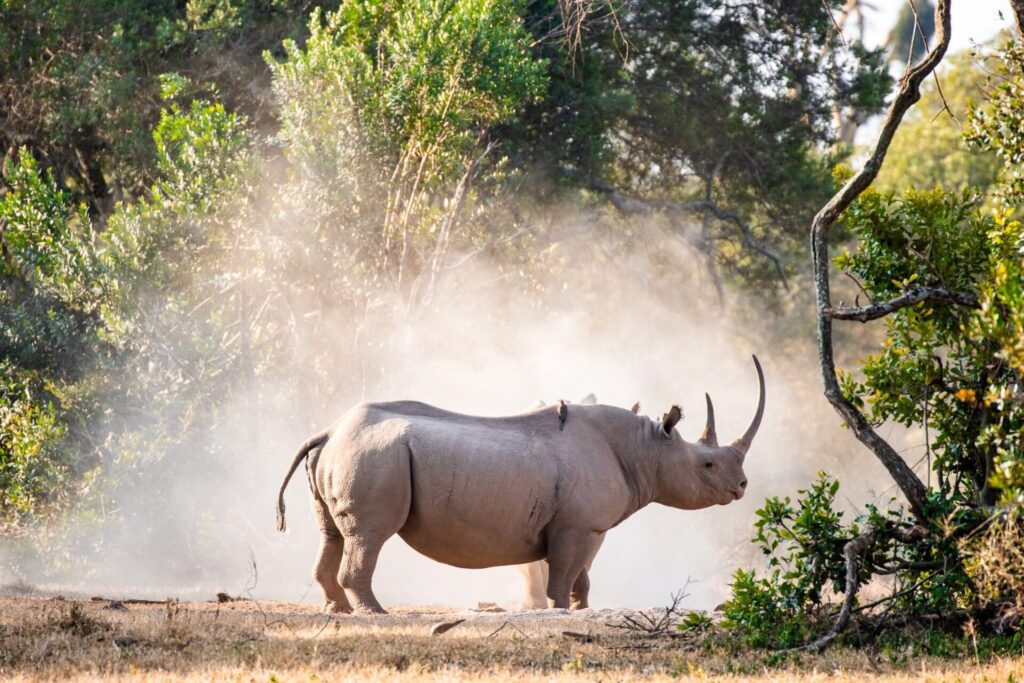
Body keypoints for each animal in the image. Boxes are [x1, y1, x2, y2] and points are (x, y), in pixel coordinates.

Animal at [276, 356, 765, 614]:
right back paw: (377, 613)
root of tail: (330, 430)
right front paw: (562, 611)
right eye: (707, 465)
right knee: (370, 534)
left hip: (353, 452)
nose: (742, 486)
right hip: (376, 455)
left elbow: (582, 574)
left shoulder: (582, 525)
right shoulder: (578, 526)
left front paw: (581, 610)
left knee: (333, 534)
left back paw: (338, 609)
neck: (647, 449)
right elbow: (564, 574)